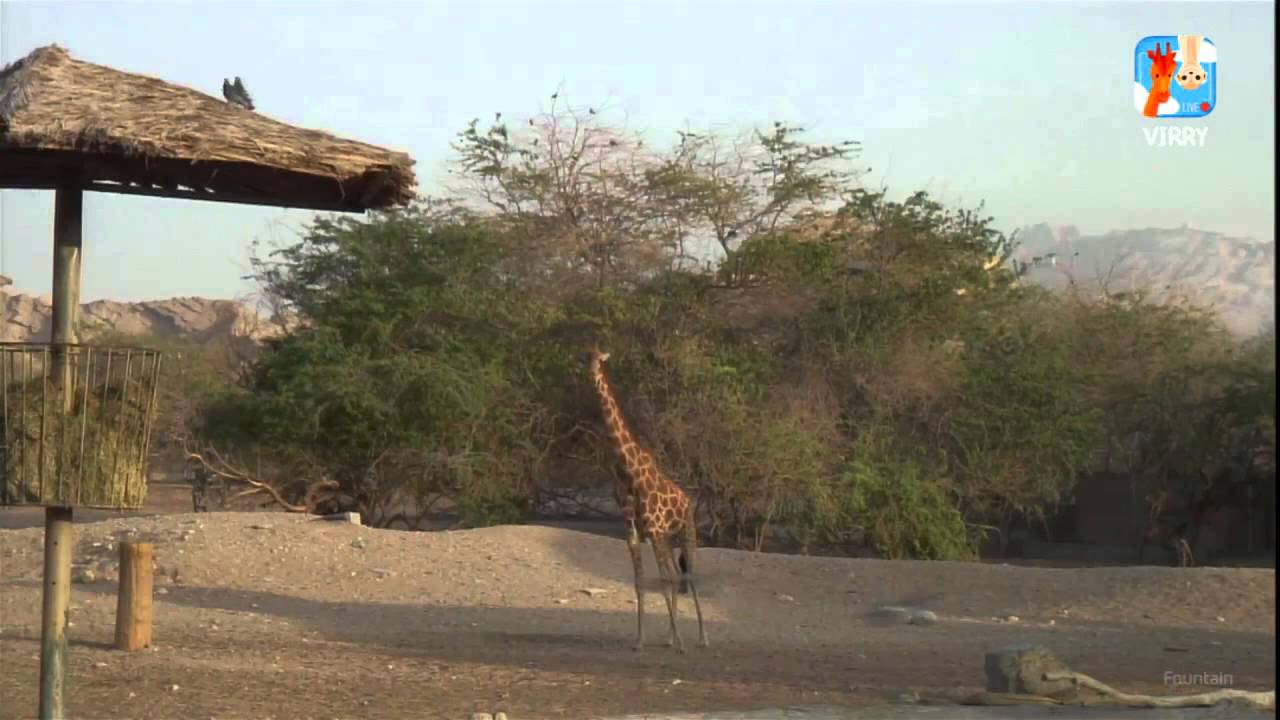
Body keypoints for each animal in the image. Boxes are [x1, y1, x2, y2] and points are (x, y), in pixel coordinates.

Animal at [587, 348, 708, 653]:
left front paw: (681, 643)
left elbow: (663, 581)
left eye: (600, 360)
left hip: (686, 533)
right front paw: (640, 640)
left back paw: (702, 638)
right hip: (668, 538)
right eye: (586, 358)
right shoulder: (633, 532)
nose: (591, 373)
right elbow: (640, 581)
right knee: (677, 574)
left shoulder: (653, 531)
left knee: (688, 575)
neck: (630, 475)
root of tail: (688, 501)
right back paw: (669, 637)